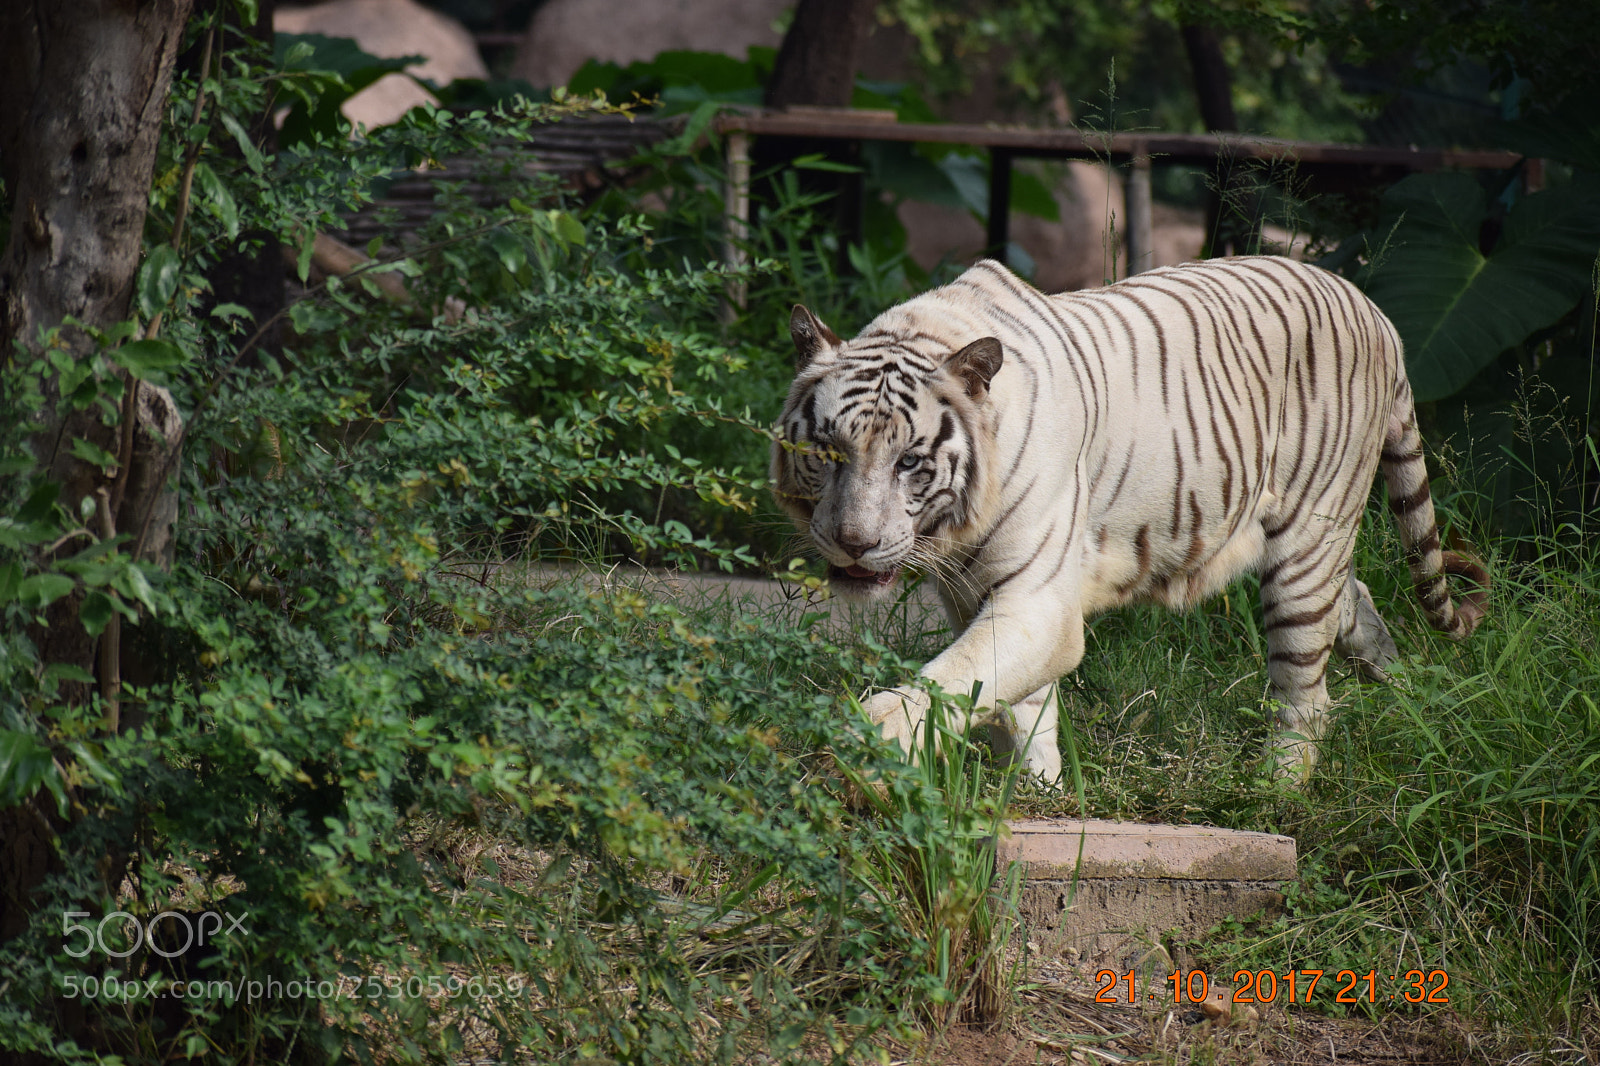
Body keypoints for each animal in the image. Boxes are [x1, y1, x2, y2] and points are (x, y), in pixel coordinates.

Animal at [770, 256, 1487, 782]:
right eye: (828, 453)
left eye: (910, 461)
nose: (854, 543)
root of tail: (1379, 314)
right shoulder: (977, 593)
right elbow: (1012, 697)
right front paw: (1035, 789)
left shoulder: (1037, 599)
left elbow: (955, 677)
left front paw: (868, 744)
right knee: (1355, 599)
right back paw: (1408, 695)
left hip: (1307, 543)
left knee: (1307, 693)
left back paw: (1278, 790)